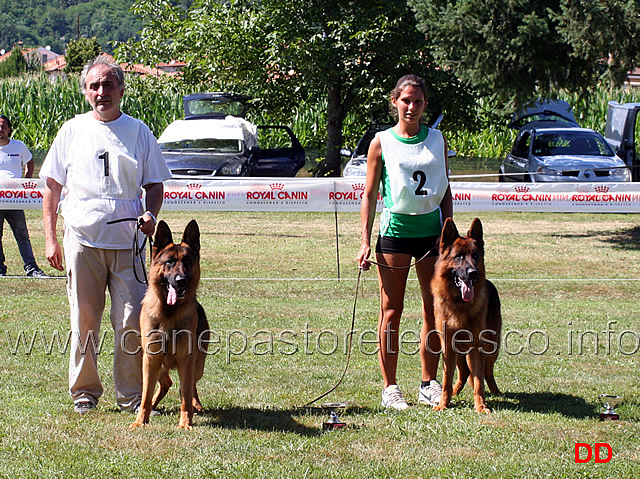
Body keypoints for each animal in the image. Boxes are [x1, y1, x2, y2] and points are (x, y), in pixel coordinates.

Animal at [130, 221, 210, 432]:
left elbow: (185, 396)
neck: (168, 313)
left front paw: (185, 423)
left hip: (197, 365)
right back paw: (154, 405)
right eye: (170, 262)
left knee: (189, 387)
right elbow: (145, 395)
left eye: (187, 262)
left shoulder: (186, 360)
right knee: (166, 383)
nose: (181, 280)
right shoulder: (150, 359)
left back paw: (196, 405)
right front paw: (140, 420)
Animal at [432, 219, 502, 414]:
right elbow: (446, 380)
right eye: (459, 256)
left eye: (475, 255)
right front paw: (443, 403)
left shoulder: (476, 347)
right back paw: (455, 392)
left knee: (486, 372)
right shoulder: (448, 347)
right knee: (463, 373)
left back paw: (495, 392)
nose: (473, 273)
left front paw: (481, 406)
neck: (459, 304)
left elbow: (478, 381)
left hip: (491, 347)